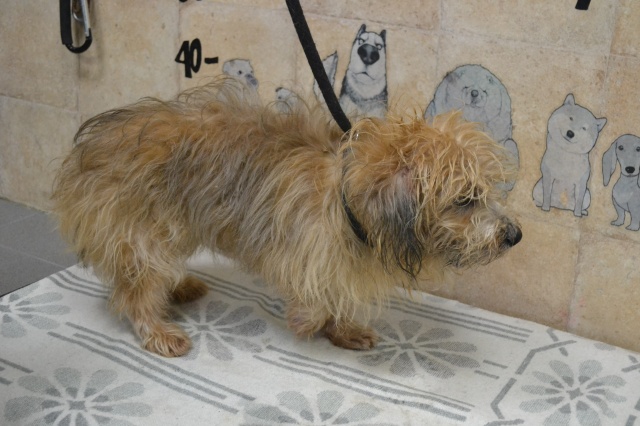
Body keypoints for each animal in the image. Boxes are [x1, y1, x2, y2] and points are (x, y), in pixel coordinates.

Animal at [52, 79, 521, 358]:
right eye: (466, 199)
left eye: (489, 190)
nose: (514, 235)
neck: (346, 202)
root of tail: (93, 141)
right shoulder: (303, 255)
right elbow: (313, 296)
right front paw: (309, 322)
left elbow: (337, 296)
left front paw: (343, 329)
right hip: (141, 232)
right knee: (135, 291)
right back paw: (157, 328)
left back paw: (179, 285)